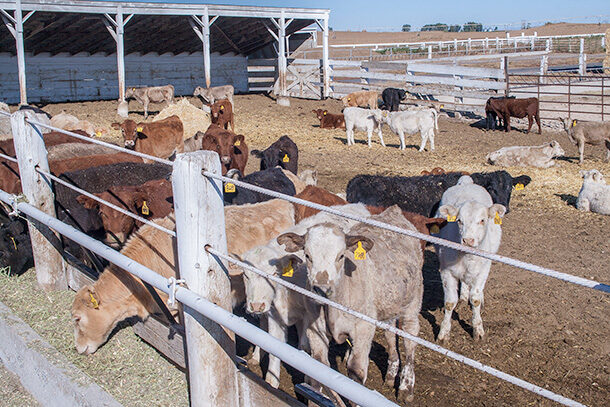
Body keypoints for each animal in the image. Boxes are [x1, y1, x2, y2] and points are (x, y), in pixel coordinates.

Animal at [434, 175, 506, 342]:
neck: (467, 257)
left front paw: (478, 330)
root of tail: (466, 182)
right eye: (459, 220)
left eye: (482, 220)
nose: (468, 240)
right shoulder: (446, 270)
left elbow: (476, 299)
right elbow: (449, 302)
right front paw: (443, 332)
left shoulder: (483, 270)